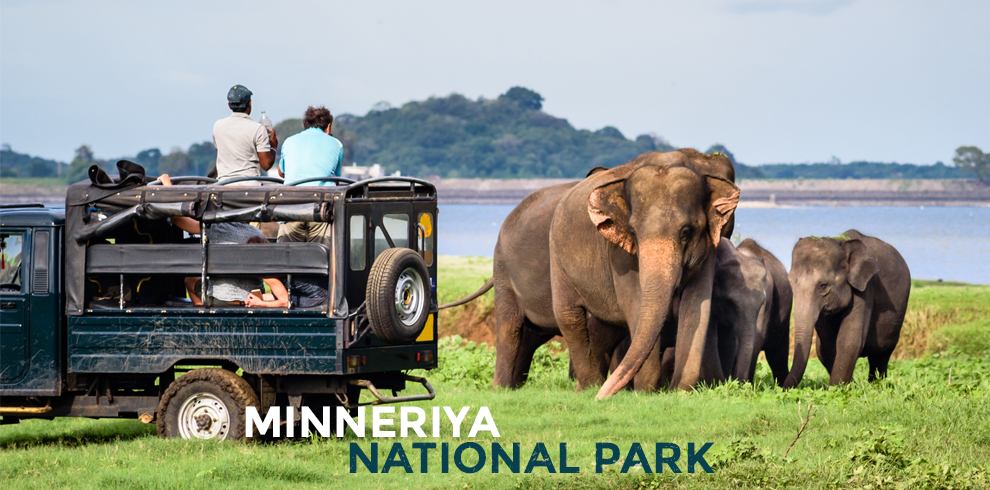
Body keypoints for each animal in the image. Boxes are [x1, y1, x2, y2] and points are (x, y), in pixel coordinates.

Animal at [548, 149, 740, 398]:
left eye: (686, 232)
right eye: (632, 231)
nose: (602, 399)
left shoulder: (708, 248)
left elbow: (697, 305)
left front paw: (678, 392)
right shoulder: (619, 254)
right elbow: (636, 305)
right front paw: (646, 393)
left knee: (603, 327)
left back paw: (589, 389)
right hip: (557, 256)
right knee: (568, 316)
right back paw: (591, 388)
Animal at [784, 229, 916, 386]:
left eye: (823, 285)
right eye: (790, 283)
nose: (781, 387)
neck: (840, 242)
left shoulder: (865, 286)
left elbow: (849, 341)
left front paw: (835, 389)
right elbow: (826, 347)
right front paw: (847, 386)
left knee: (881, 356)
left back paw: (876, 384)